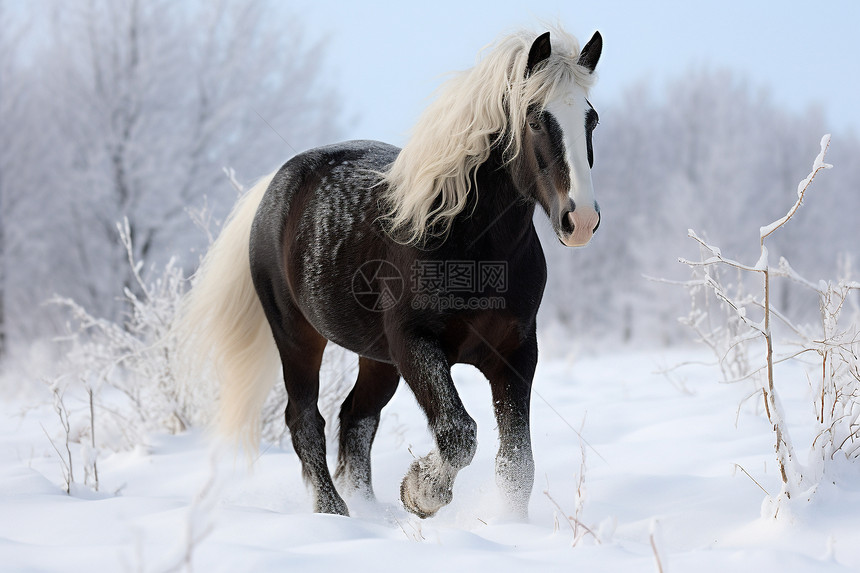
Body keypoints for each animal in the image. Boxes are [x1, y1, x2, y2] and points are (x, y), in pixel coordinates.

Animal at [177, 27, 600, 520]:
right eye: (534, 119)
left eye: (591, 120)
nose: (581, 220)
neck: (472, 244)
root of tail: (272, 189)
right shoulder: (414, 342)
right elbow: (459, 432)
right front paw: (422, 493)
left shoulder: (516, 353)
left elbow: (516, 465)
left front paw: (508, 525)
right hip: (297, 336)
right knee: (305, 419)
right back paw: (334, 512)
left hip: (377, 358)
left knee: (356, 418)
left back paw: (365, 506)